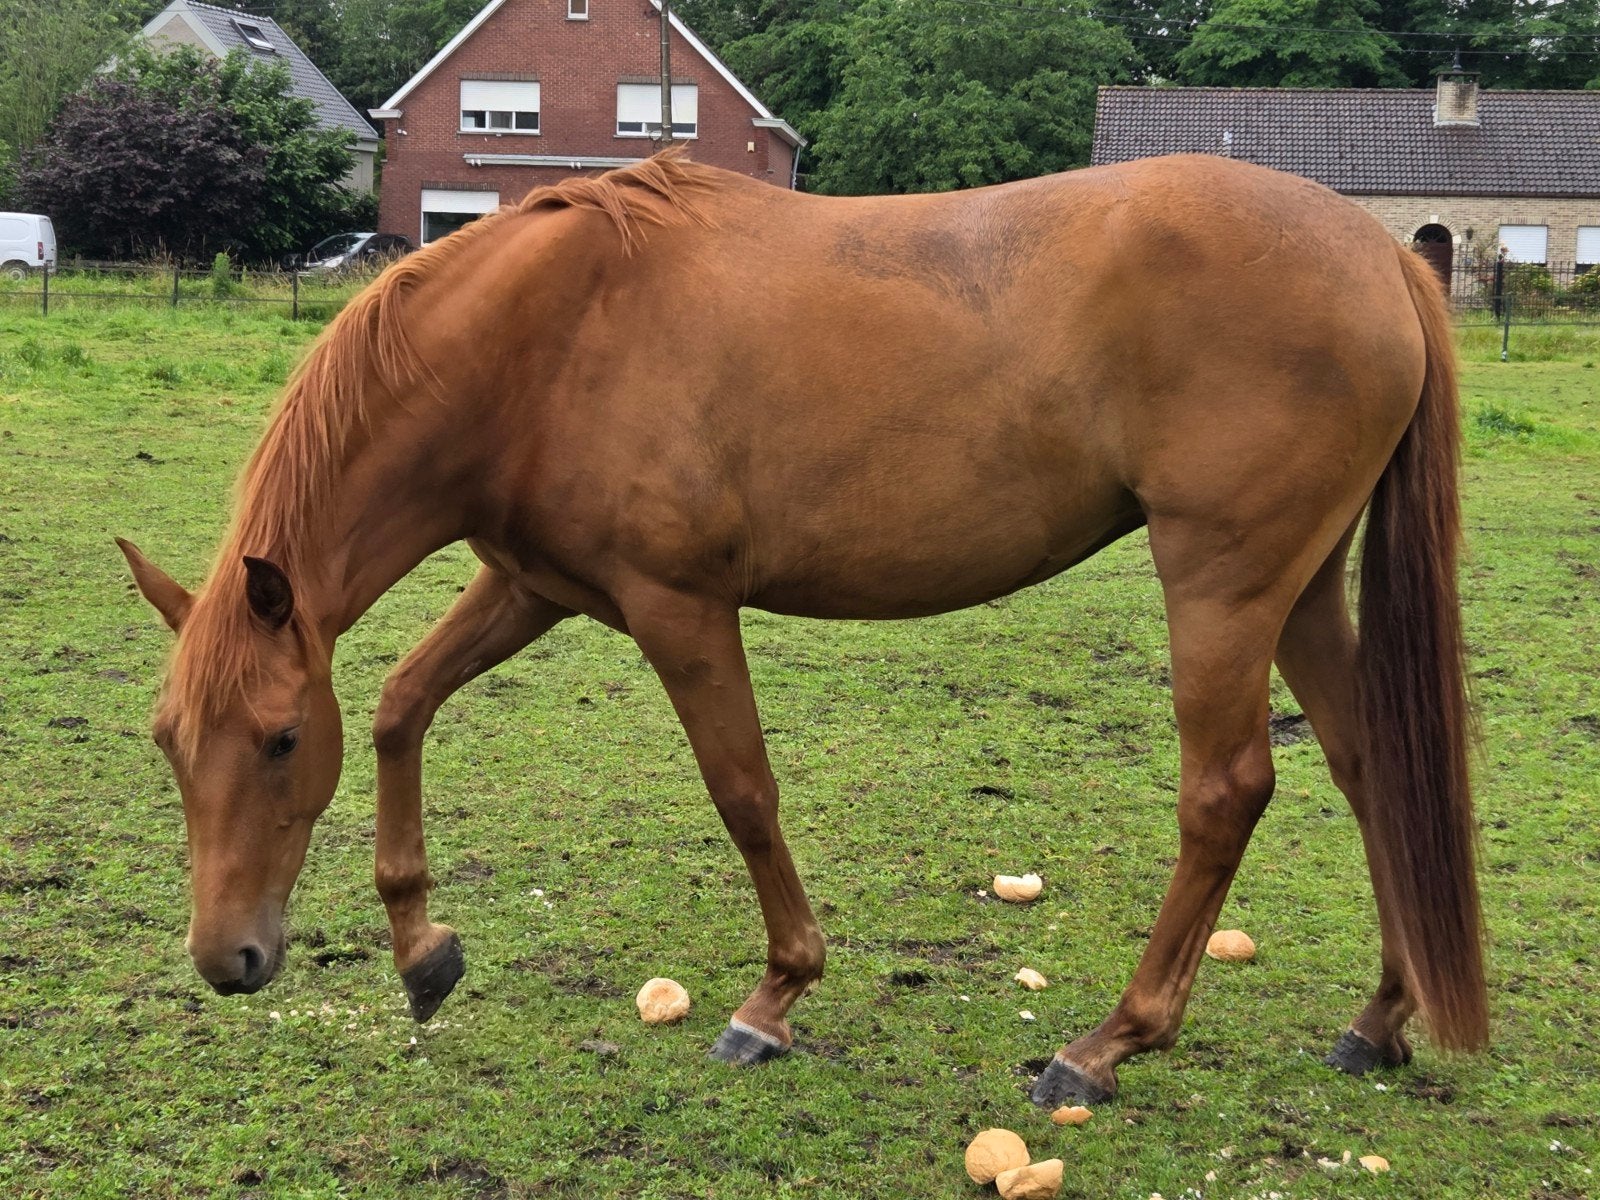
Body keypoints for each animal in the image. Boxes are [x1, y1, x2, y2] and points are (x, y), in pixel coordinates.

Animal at [118, 149, 1485, 1107]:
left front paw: (774, 999)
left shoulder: (677, 607)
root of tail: (1380, 257)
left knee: (1226, 792)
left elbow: (743, 792)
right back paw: (1377, 1021)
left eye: (279, 740)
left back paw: (1106, 1046)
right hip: (1298, 589)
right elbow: (403, 705)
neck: (547, 335)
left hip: (1220, 584)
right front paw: (422, 948)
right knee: (1369, 768)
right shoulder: (533, 587)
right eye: (171, 747)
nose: (228, 959)